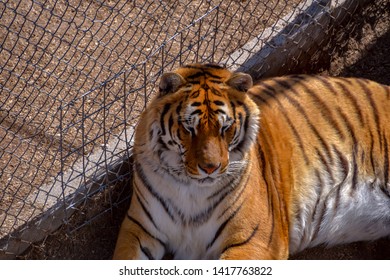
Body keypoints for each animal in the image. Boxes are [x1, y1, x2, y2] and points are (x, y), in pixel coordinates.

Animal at [112, 62, 390, 260]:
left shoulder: (254, 241)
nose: (210, 168)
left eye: (225, 128)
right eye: (189, 128)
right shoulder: (138, 228)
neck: (191, 190)